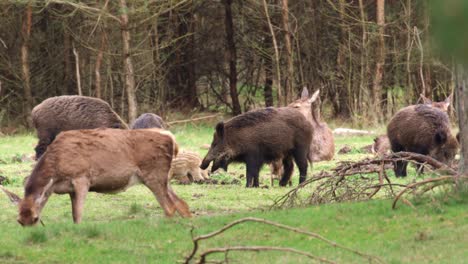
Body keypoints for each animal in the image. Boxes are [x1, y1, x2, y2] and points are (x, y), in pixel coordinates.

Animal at [0, 127, 190, 225]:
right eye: (19, 221)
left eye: (35, 218)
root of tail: (172, 138)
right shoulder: (70, 189)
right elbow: (73, 214)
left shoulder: (82, 177)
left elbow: (78, 215)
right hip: (163, 177)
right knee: (182, 204)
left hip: (153, 174)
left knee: (170, 207)